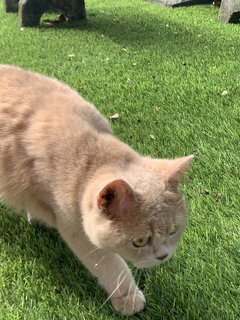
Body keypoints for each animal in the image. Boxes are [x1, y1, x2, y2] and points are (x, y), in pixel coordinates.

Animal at [0, 65, 192, 316]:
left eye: (174, 230)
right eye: (139, 241)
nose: (163, 256)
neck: (92, 153)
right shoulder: (76, 228)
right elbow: (111, 265)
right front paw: (128, 298)